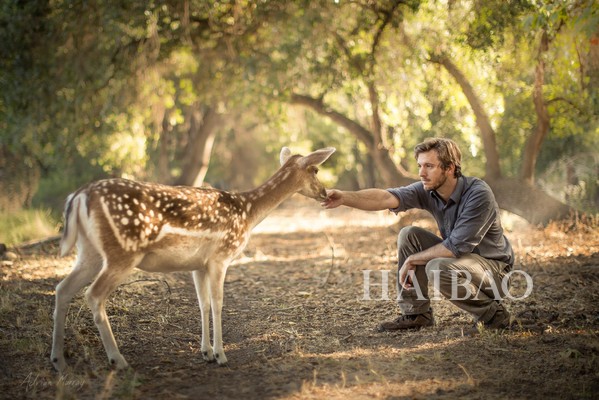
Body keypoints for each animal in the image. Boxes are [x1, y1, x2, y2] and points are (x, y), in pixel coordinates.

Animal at [50, 146, 338, 372]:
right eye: (315, 170)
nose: (325, 193)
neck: (248, 213)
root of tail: (78, 197)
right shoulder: (221, 256)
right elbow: (218, 303)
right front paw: (221, 355)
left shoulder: (198, 265)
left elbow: (203, 304)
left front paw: (206, 352)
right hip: (122, 251)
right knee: (93, 294)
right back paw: (117, 360)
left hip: (89, 251)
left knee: (62, 289)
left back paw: (58, 361)